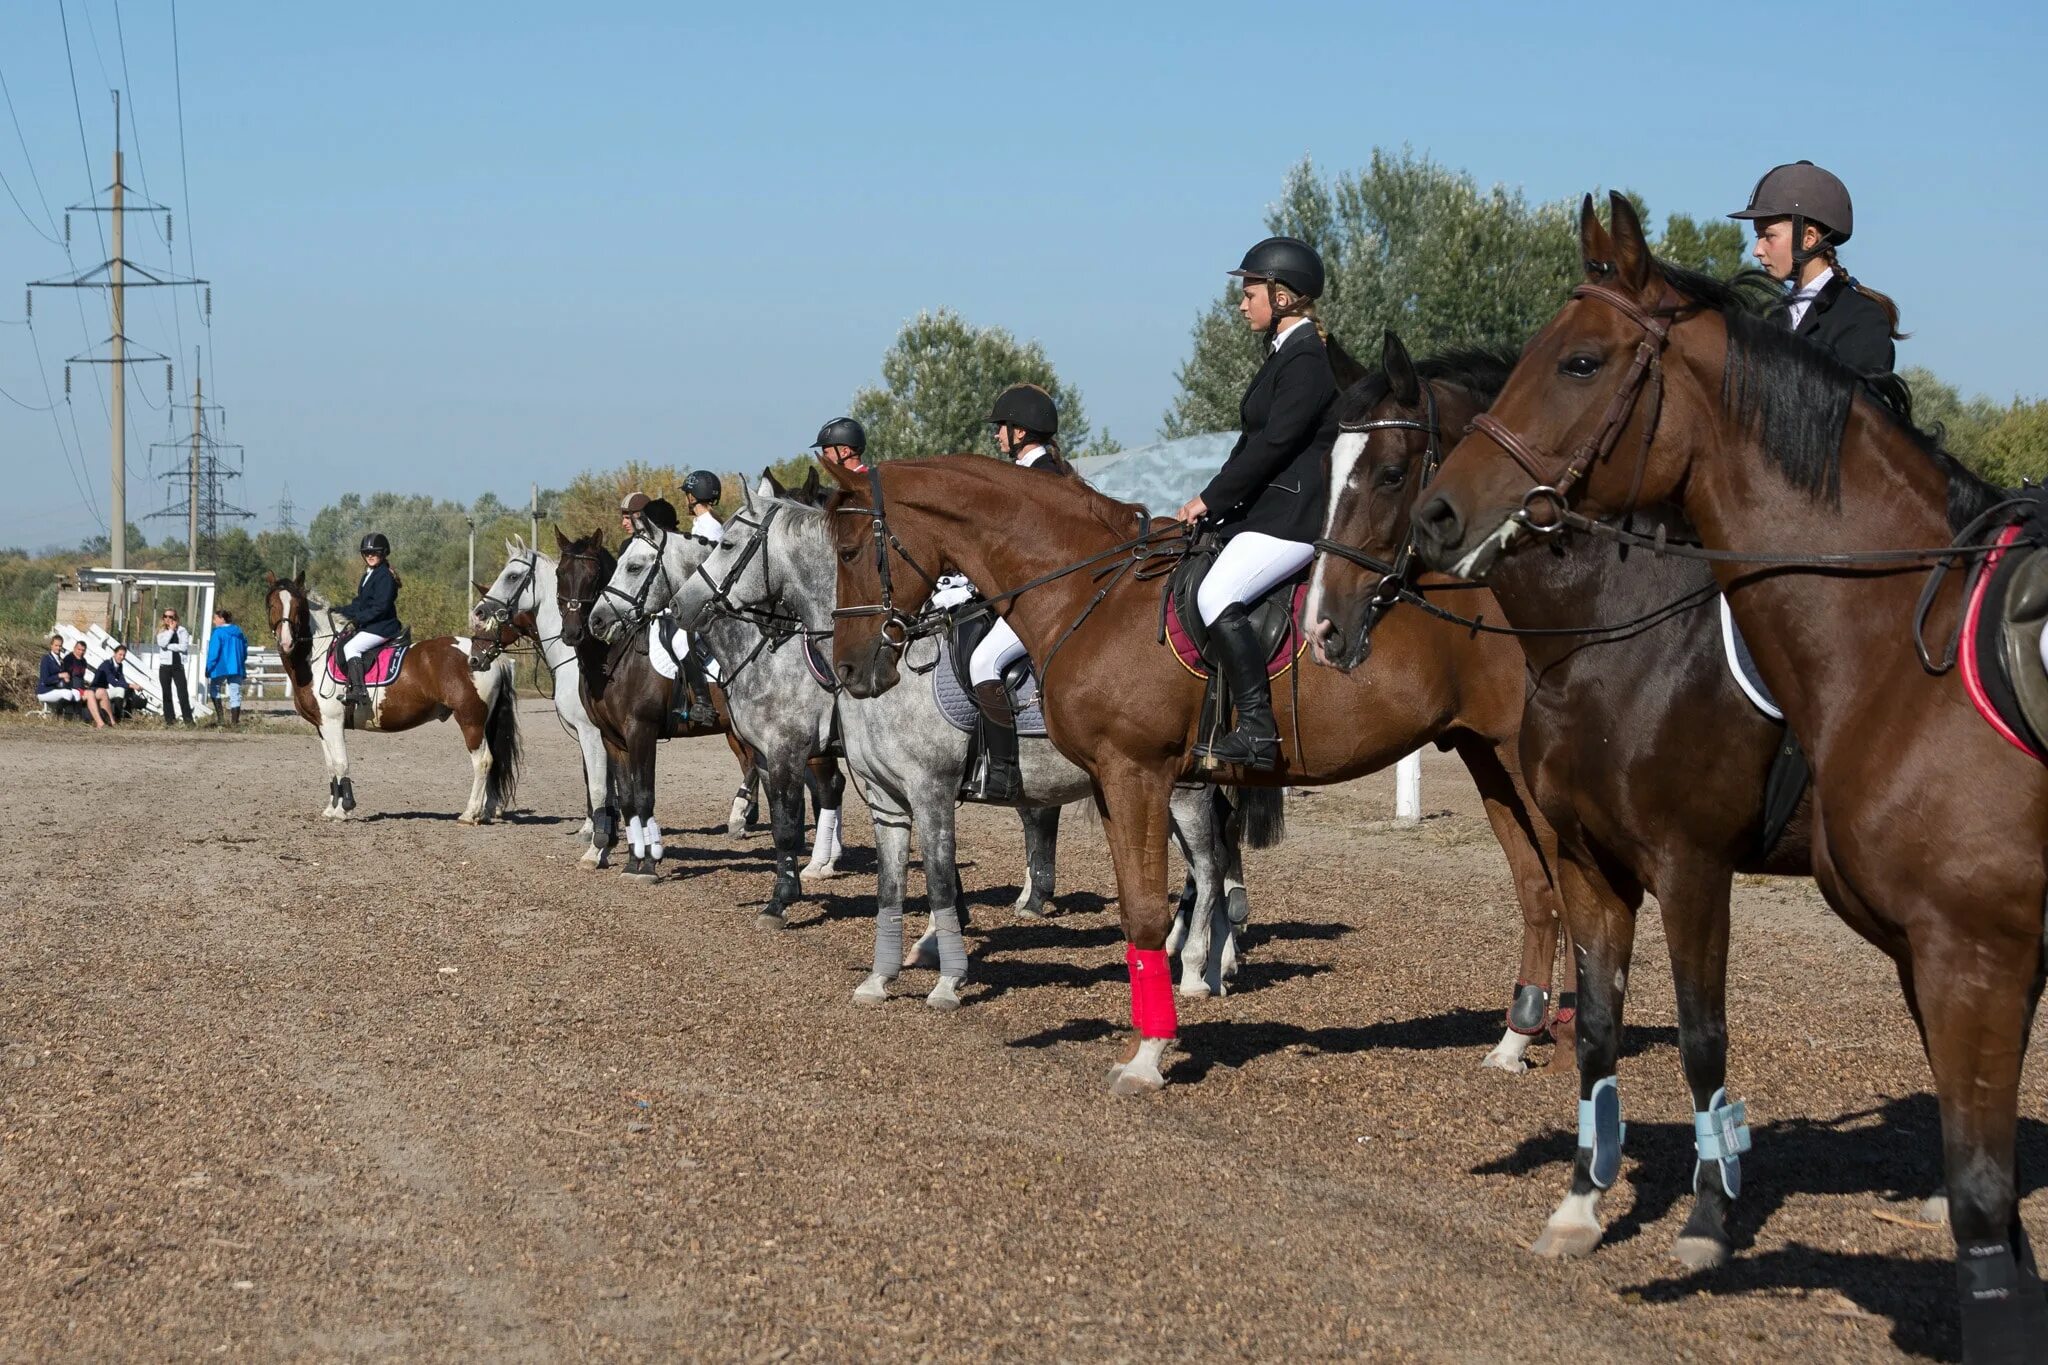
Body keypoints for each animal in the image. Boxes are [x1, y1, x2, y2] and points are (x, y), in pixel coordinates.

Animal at [260, 568, 528, 822]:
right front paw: (331, 808)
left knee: (483, 761)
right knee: (494, 761)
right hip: (485, 722)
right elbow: (330, 767)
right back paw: (488, 811)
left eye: (298, 606)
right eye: (271, 604)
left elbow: (340, 763)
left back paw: (470, 813)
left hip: (470, 720)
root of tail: (486, 656)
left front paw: (344, 809)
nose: (286, 643)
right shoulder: (321, 726)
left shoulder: (333, 722)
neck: (317, 655)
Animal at [671, 474, 1277, 1010]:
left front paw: (939, 974)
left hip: (1180, 790)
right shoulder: (883, 794)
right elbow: (896, 883)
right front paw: (894, 968)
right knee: (1211, 858)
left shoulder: (882, 777)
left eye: (725, 543)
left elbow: (916, 870)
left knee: (1209, 863)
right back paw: (1213, 960)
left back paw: (1198, 967)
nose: (681, 605)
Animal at [827, 454, 1564, 1096]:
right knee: (1537, 892)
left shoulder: (1133, 774)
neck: (1085, 591)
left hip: (1524, 769)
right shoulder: (1111, 783)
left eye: (849, 550)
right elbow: (1133, 909)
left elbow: (1144, 910)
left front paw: (1148, 1056)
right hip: (1484, 759)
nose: (852, 668)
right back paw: (1513, 1040)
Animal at [1409, 189, 2048, 1358]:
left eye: (1579, 361)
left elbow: (1703, 1042)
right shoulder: (1595, 863)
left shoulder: (1694, 865)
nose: (1438, 519)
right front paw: (1580, 1203)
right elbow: (1600, 1029)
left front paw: (1706, 1221)